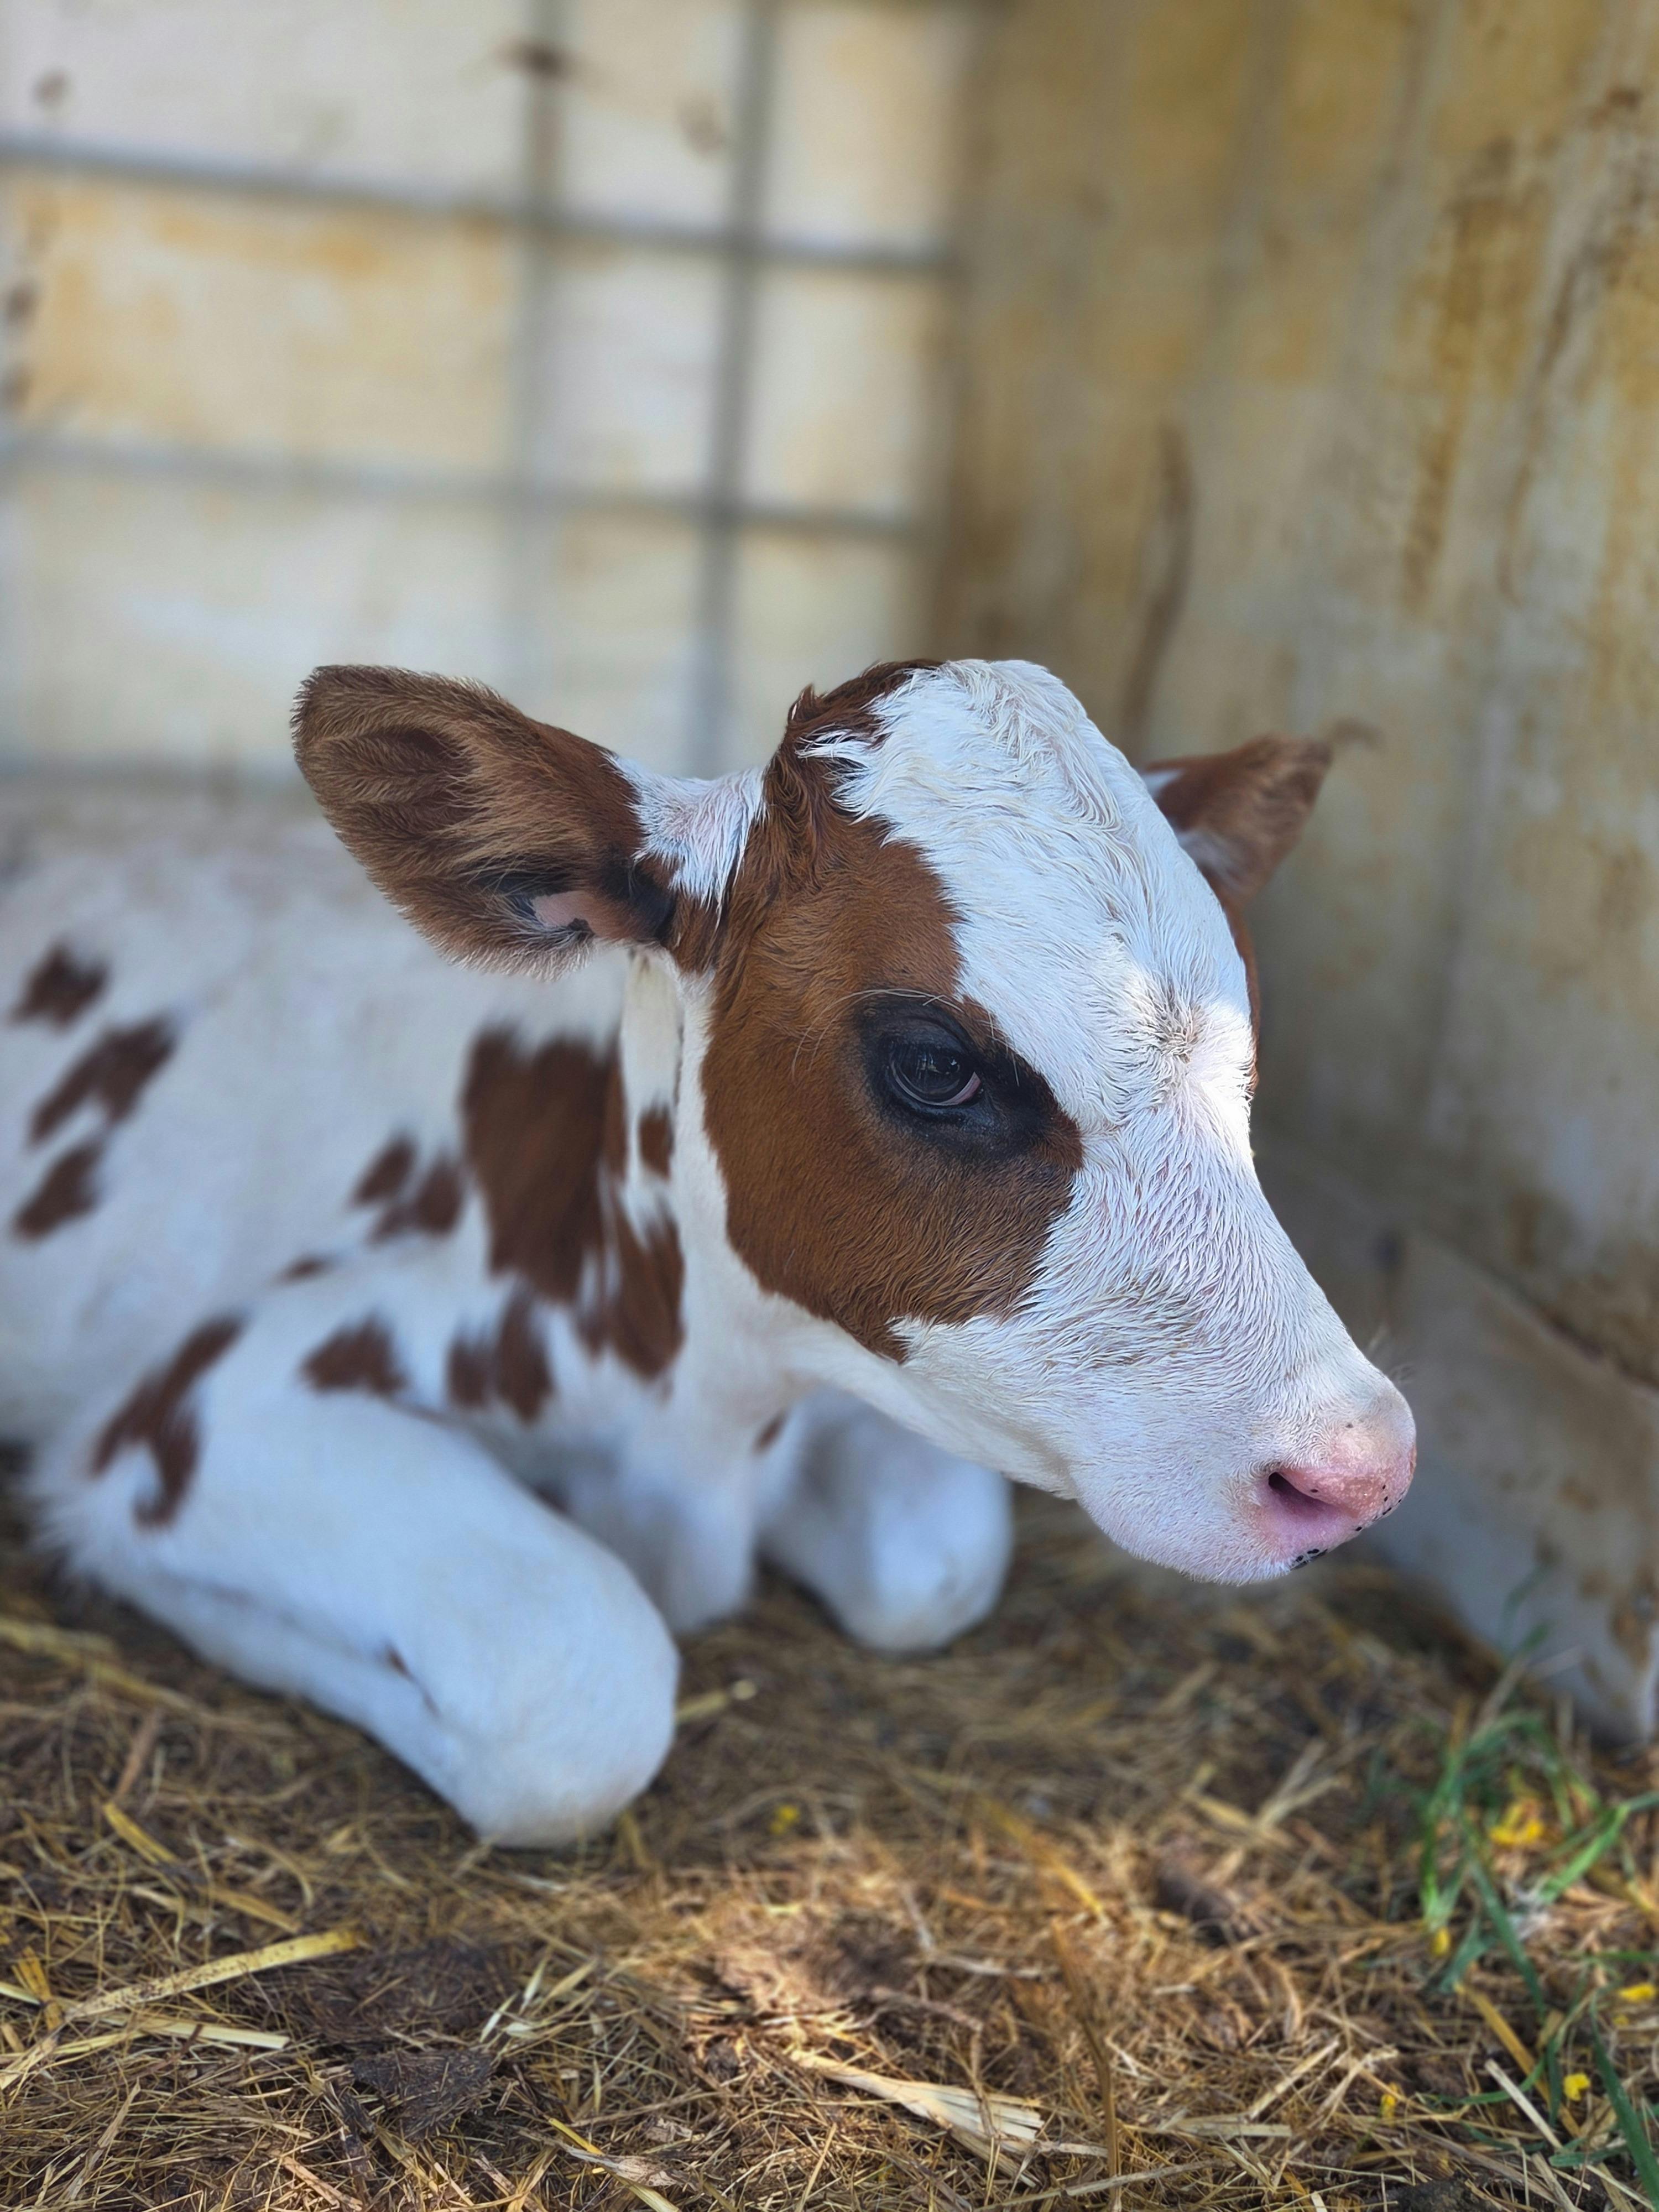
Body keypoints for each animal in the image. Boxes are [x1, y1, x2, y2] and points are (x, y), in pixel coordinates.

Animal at [1, 658, 1414, 1843]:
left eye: (1245, 1045)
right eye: (934, 1063)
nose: (1357, 1465)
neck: (697, 1420)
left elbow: (937, 1566)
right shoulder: (211, 1403)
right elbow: (580, 1685)